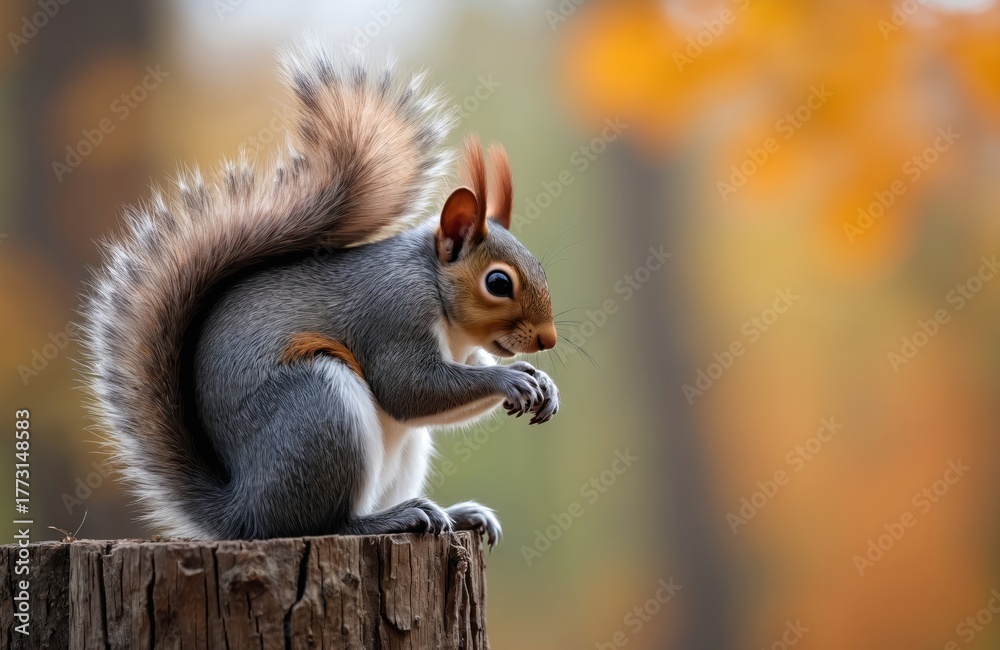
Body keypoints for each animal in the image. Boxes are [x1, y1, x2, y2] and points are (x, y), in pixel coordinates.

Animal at [79, 43, 560, 545]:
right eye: (498, 283)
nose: (548, 339)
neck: (438, 294)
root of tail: (244, 512)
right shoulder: (394, 312)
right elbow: (408, 389)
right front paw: (510, 379)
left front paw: (541, 382)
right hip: (321, 411)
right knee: (324, 522)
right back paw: (392, 518)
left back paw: (459, 513)